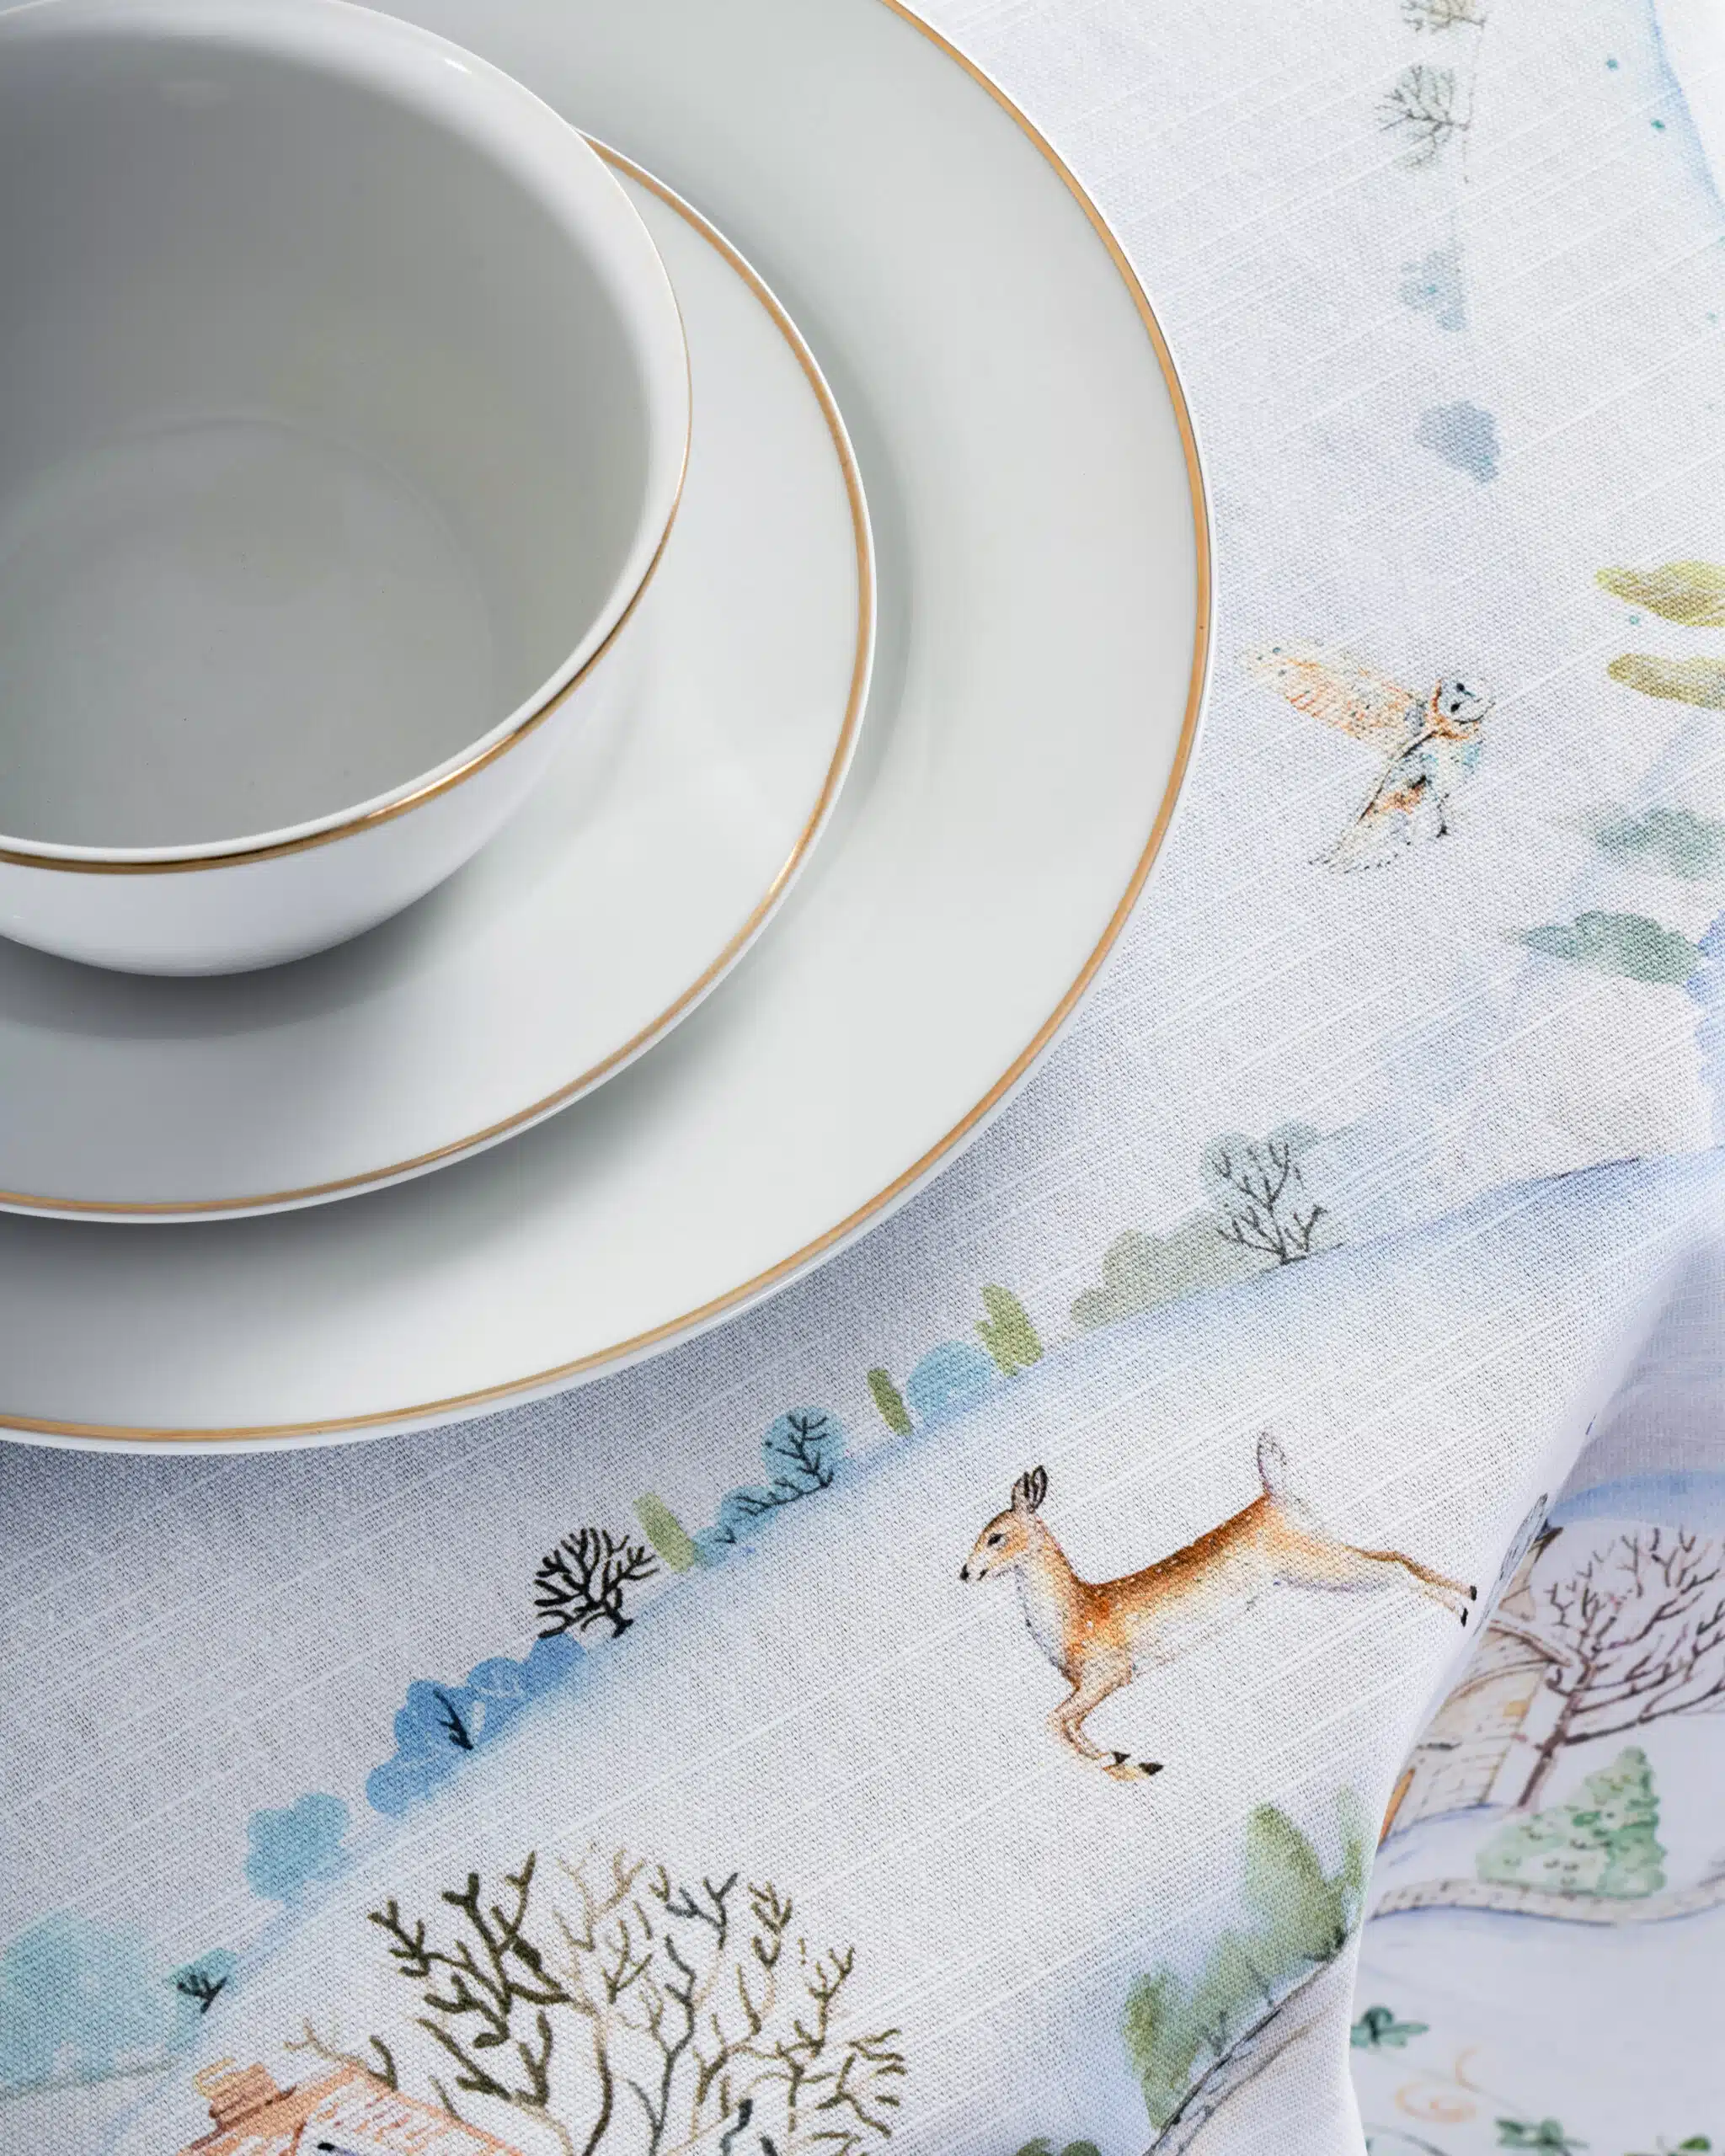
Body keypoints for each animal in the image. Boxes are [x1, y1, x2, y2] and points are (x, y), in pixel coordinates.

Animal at [959, 1434, 1476, 1782]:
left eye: (996, 1536)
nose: (965, 1572)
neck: (1074, 1613)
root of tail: (1277, 1494)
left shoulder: (1109, 1674)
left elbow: (1055, 1721)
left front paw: (1120, 1760)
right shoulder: (1092, 1685)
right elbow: (1068, 1725)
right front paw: (1130, 1760)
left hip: (1317, 1565)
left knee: (1395, 1571)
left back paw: (1463, 1609)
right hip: (1322, 1552)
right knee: (1396, 1555)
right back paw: (1470, 1592)